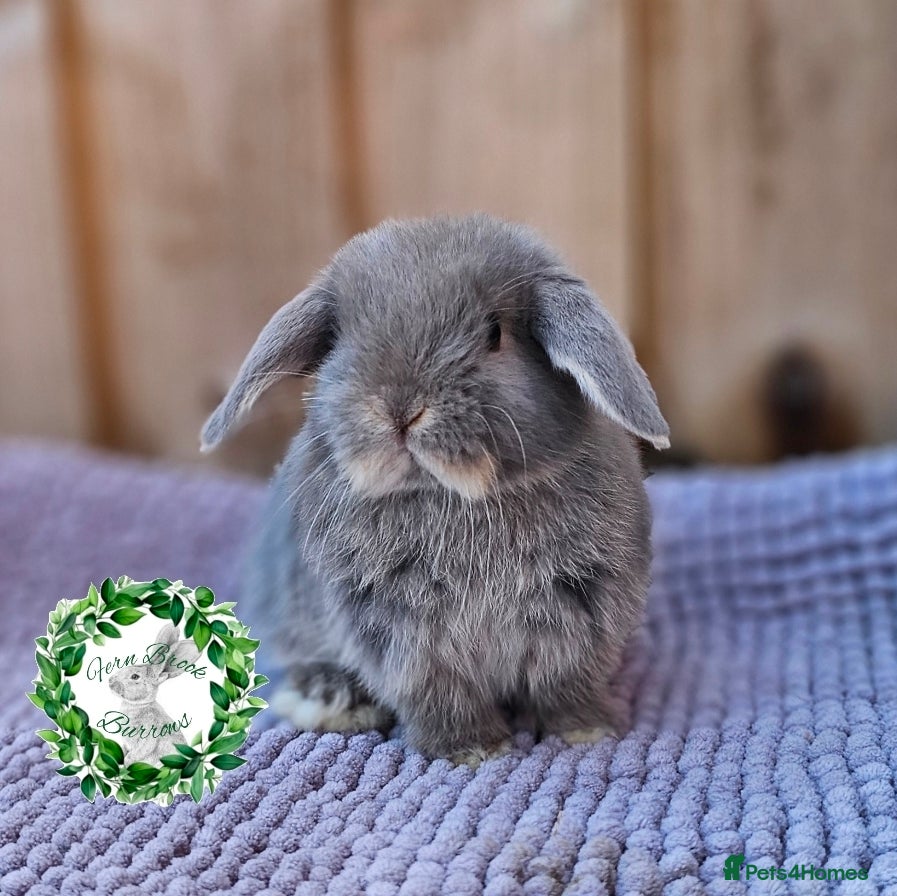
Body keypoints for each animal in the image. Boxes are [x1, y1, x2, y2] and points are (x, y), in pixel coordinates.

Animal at [108, 623, 202, 765]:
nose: (110, 681)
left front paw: (127, 763)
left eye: (135, 676)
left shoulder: (148, 734)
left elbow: (141, 750)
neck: (139, 705)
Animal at [200, 214, 669, 764]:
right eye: (338, 339)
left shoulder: (583, 615)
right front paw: (472, 748)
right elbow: (439, 693)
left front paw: (587, 731)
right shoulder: (404, 638)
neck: (452, 496)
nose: (399, 408)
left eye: (495, 333)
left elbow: (566, 685)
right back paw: (332, 701)